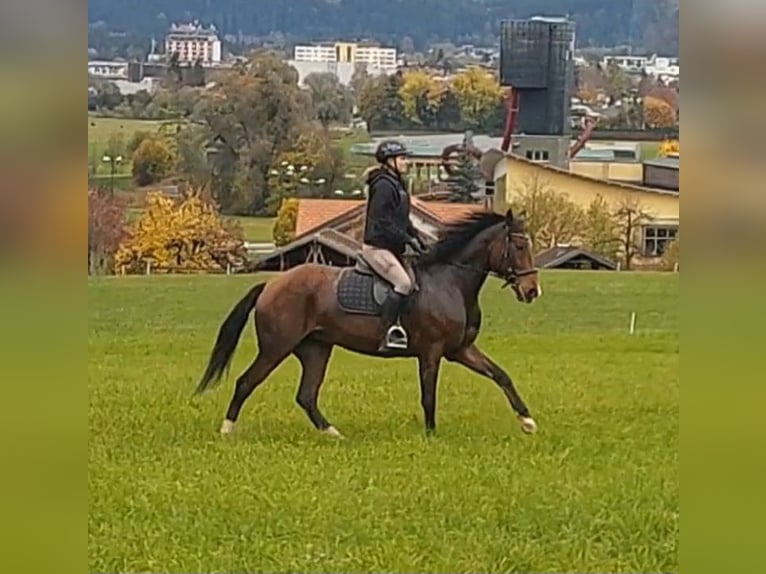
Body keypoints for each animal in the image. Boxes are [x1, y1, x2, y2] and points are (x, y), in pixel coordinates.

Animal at [195, 208, 542, 438]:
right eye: (519, 246)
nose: (532, 291)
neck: (451, 282)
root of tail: (271, 284)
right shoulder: (431, 352)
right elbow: (428, 394)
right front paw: (431, 435)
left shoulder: (461, 350)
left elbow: (501, 376)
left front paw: (527, 421)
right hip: (276, 348)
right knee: (246, 382)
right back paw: (227, 431)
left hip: (316, 349)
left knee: (306, 395)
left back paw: (333, 434)